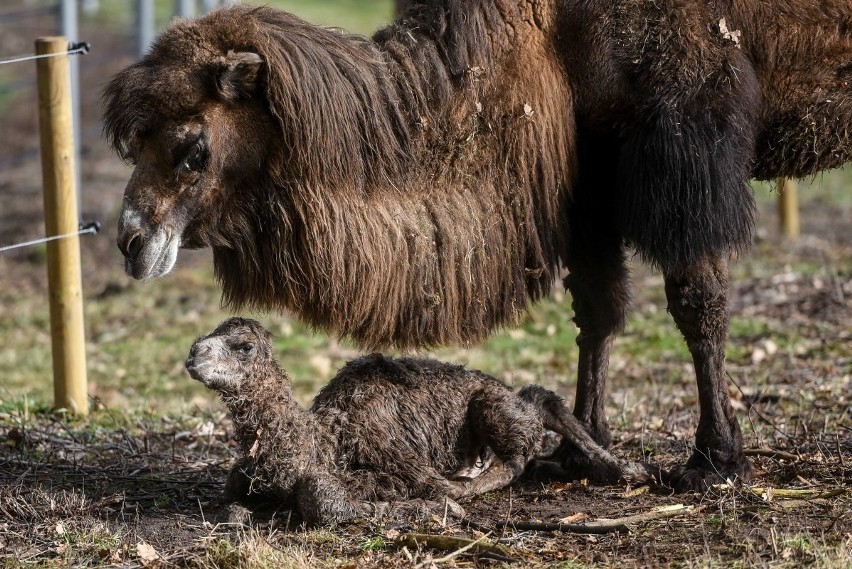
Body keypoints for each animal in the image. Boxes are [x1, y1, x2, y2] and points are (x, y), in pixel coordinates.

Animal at [188, 318, 652, 520]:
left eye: (244, 347)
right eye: (201, 340)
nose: (193, 355)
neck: (319, 442)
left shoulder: (381, 462)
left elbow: (326, 503)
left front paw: (438, 506)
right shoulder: (243, 475)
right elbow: (231, 493)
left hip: (489, 403)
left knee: (524, 436)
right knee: (536, 403)